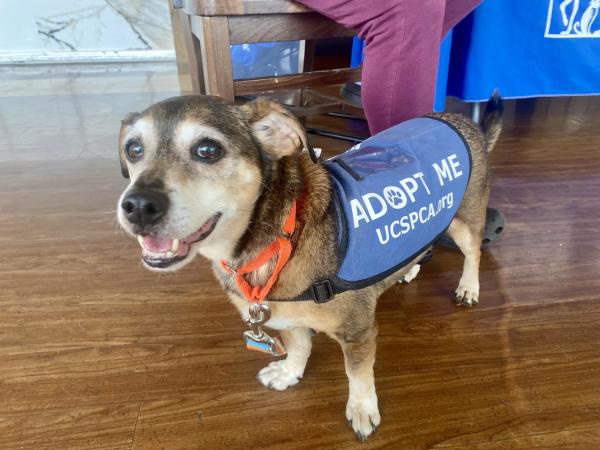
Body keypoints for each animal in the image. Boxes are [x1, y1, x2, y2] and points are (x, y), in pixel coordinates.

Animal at [116, 93, 502, 442]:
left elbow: (357, 374)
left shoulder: (358, 332)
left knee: (473, 253)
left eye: (208, 150)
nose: (137, 206)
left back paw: (469, 287)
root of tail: (466, 123)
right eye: (133, 150)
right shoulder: (284, 316)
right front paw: (289, 373)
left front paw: (362, 409)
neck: (277, 236)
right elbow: (299, 345)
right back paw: (408, 268)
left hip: (466, 220)